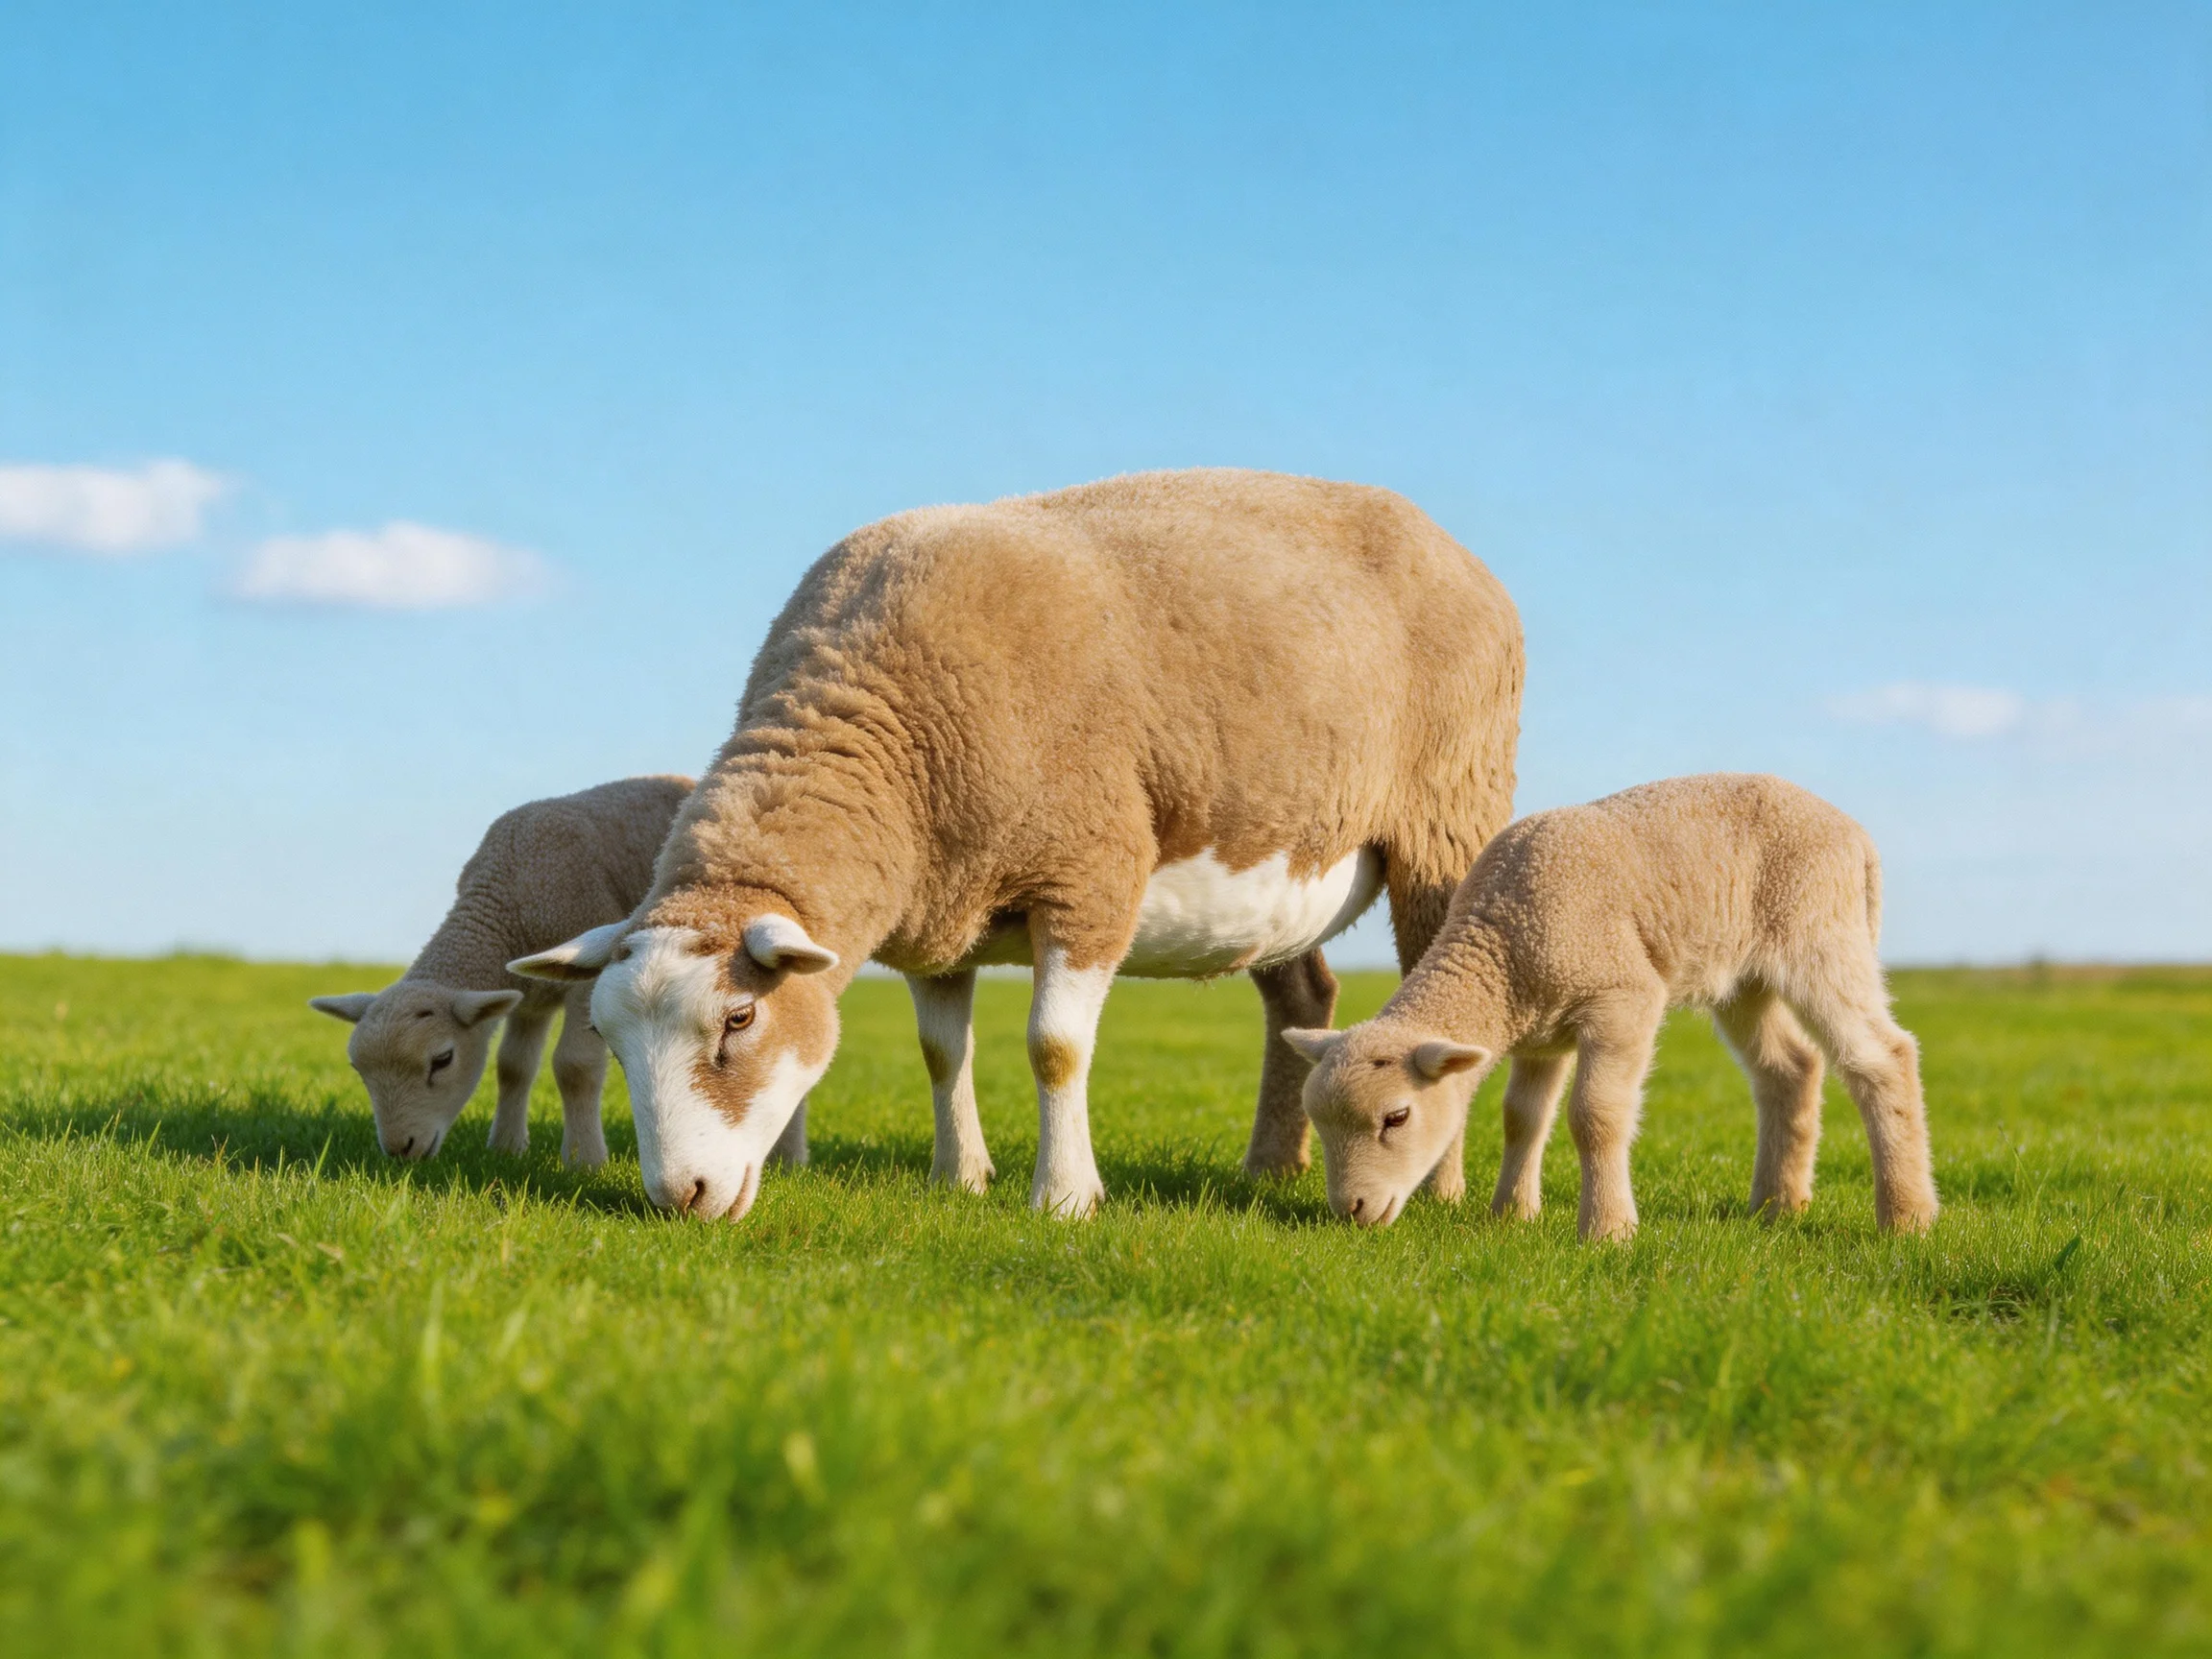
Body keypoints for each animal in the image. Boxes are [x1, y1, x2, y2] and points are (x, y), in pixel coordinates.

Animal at [307, 775, 822, 1169]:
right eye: (357, 1069)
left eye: (441, 1060)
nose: (400, 1150)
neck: (505, 898)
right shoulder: (528, 993)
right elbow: (512, 1066)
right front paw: (506, 1148)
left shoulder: (584, 978)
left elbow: (574, 1066)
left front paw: (584, 1160)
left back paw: (788, 1157)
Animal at [510, 468, 1524, 1221]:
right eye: (608, 1039)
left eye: (737, 1021)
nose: (680, 1196)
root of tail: (1452, 547)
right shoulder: (933, 912)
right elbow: (940, 1052)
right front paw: (958, 1177)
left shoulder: (1090, 872)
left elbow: (1053, 1048)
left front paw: (1064, 1197)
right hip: (1279, 874)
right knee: (1303, 998)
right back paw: (1270, 1166)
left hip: (1451, 818)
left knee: (1442, 1018)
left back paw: (1440, 1189)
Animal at [1284, 773, 1939, 1240]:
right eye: (1316, 1120)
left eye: (1396, 1118)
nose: (1351, 1209)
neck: (1498, 945)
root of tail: (1857, 839)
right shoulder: (1540, 1031)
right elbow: (1523, 1117)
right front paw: (1511, 1214)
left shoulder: (1621, 1000)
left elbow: (1593, 1116)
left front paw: (1608, 1230)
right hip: (1745, 976)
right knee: (1791, 1068)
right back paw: (1777, 1207)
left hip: (1820, 931)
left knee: (1883, 1056)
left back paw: (1907, 1218)